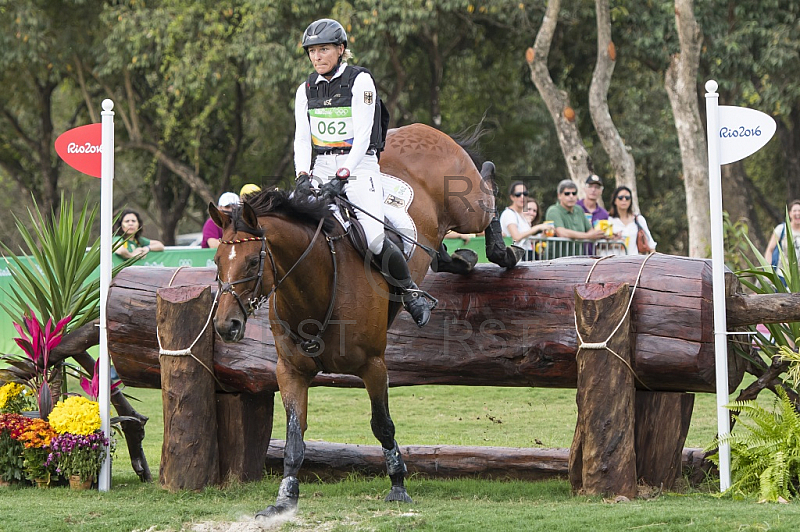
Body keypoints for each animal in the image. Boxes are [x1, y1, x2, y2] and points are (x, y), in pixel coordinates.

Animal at [212, 122, 524, 516]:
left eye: (253, 261)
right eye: (217, 261)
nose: (226, 325)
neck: (317, 287)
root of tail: (423, 128)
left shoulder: (373, 365)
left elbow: (382, 425)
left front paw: (398, 486)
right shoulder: (291, 371)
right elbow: (295, 436)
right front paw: (285, 498)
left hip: (466, 206)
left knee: (487, 188)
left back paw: (502, 249)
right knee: (439, 253)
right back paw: (461, 259)